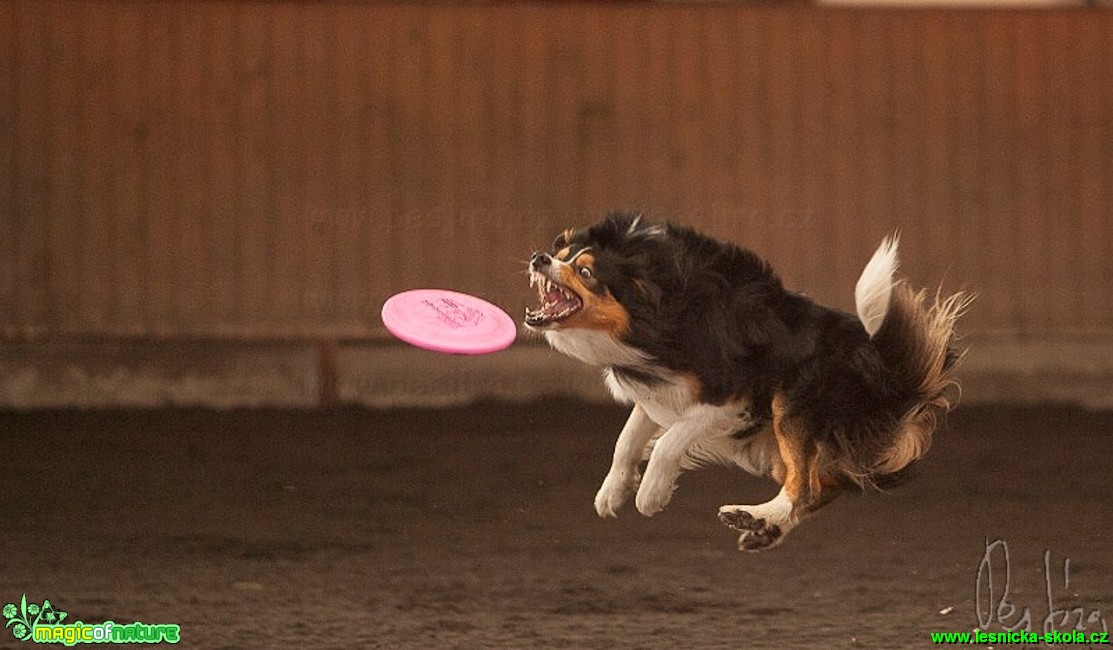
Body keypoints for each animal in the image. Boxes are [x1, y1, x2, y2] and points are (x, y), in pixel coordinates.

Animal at [525, 213, 970, 547]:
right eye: (560, 255)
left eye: (585, 271)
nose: (539, 257)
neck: (661, 307)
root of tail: (886, 373)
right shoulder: (661, 386)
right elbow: (627, 438)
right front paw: (612, 492)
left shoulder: (730, 394)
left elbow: (670, 440)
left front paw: (651, 494)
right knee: (824, 484)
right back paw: (758, 526)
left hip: (791, 403)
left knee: (805, 487)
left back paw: (756, 516)